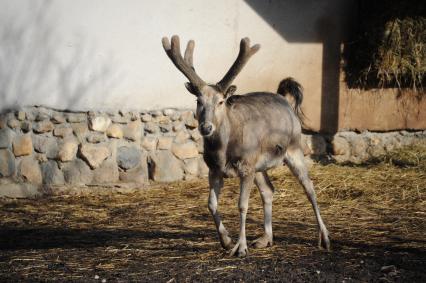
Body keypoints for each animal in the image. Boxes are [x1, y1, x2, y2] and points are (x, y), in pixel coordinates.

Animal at [161, 35, 332, 258]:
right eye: (198, 101)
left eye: (221, 101)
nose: (206, 127)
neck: (223, 152)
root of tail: (285, 100)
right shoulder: (214, 169)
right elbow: (211, 204)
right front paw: (226, 241)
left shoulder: (246, 166)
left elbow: (242, 205)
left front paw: (240, 247)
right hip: (259, 165)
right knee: (269, 190)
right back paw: (266, 239)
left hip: (294, 148)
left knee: (310, 188)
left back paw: (325, 238)